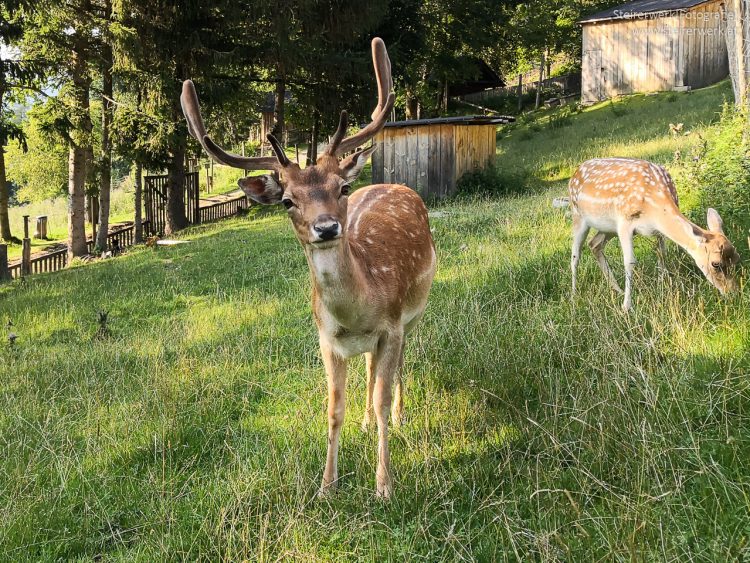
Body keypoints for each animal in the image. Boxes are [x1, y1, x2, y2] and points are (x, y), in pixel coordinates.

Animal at [181, 38, 438, 498]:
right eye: (288, 200)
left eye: (343, 187)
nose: (327, 227)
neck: (357, 314)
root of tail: (395, 184)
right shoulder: (327, 340)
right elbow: (333, 410)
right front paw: (326, 485)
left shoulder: (391, 326)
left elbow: (382, 396)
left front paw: (384, 486)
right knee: (369, 371)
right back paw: (364, 424)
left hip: (415, 314)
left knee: (399, 368)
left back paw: (400, 416)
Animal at [568, 156, 740, 310]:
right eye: (716, 264)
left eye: (737, 258)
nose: (732, 293)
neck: (653, 206)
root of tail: (575, 173)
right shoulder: (624, 222)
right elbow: (629, 262)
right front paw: (627, 307)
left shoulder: (658, 231)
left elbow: (662, 253)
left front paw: (664, 286)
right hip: (578, 215)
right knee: (575, 255)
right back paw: (574, 295)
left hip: (608, 228)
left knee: (594, 244)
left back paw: (617, 289)